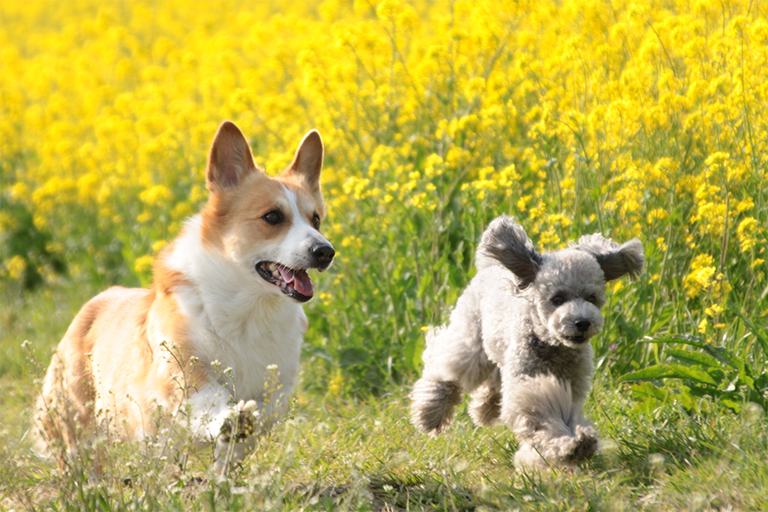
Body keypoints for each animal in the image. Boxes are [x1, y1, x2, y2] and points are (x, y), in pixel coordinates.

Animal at [34, 120, 332, 476]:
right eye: (272, 217)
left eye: (316, 219)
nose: (325, 251)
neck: (248, 307)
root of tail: (96, 302)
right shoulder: (183, 367)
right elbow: (210, 396)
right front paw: (231, 418)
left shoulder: (277, 383)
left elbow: (263, 417)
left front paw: (225, 473)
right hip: (78, 417)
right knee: (81, 457)